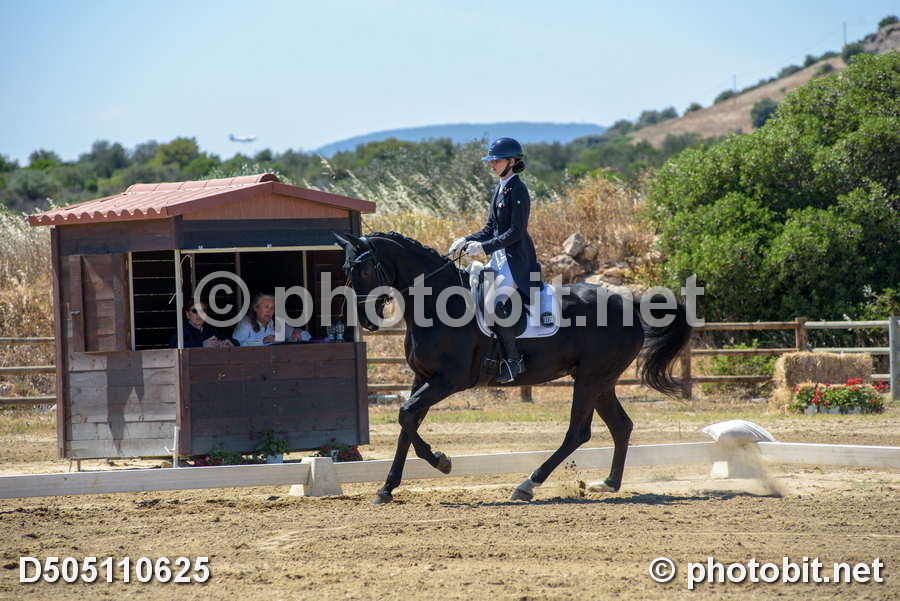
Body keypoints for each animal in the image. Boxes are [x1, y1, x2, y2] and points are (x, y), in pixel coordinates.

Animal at [334, 231, 692, 504]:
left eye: (362, 270)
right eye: (346, 269)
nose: (366, 321)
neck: (438, 303)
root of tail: (628, 303)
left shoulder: (449, 380)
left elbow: (407, 414)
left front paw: (442, 462)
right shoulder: (422, 377)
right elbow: (407, 423)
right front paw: (386, 488)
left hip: (591, 378)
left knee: (579, 431)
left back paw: (527, 485)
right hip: (600, 380)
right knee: (620, 426)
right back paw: (607, 483)